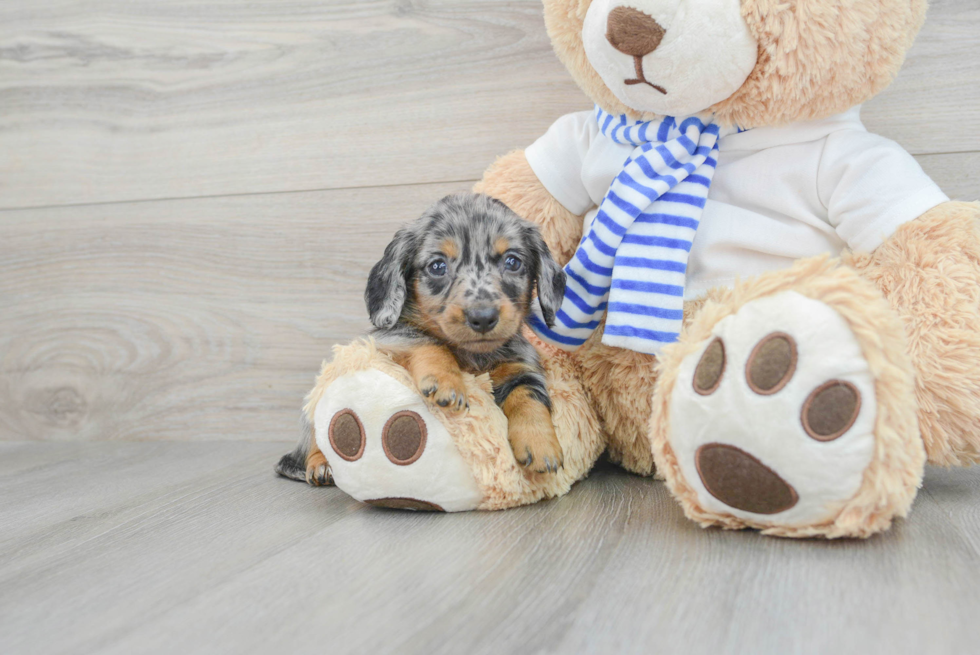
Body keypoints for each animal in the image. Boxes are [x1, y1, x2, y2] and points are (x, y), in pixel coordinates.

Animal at [276, 192, 568, 484]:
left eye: (512, 262)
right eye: (437, 266)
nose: (483, 317)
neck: (470, 355)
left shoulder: (520, 365)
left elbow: (529, 396)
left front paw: (540, 442)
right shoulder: (392, 337)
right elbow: (430, 341)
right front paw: (447, 382)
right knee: (315, 439)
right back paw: (321, 465)